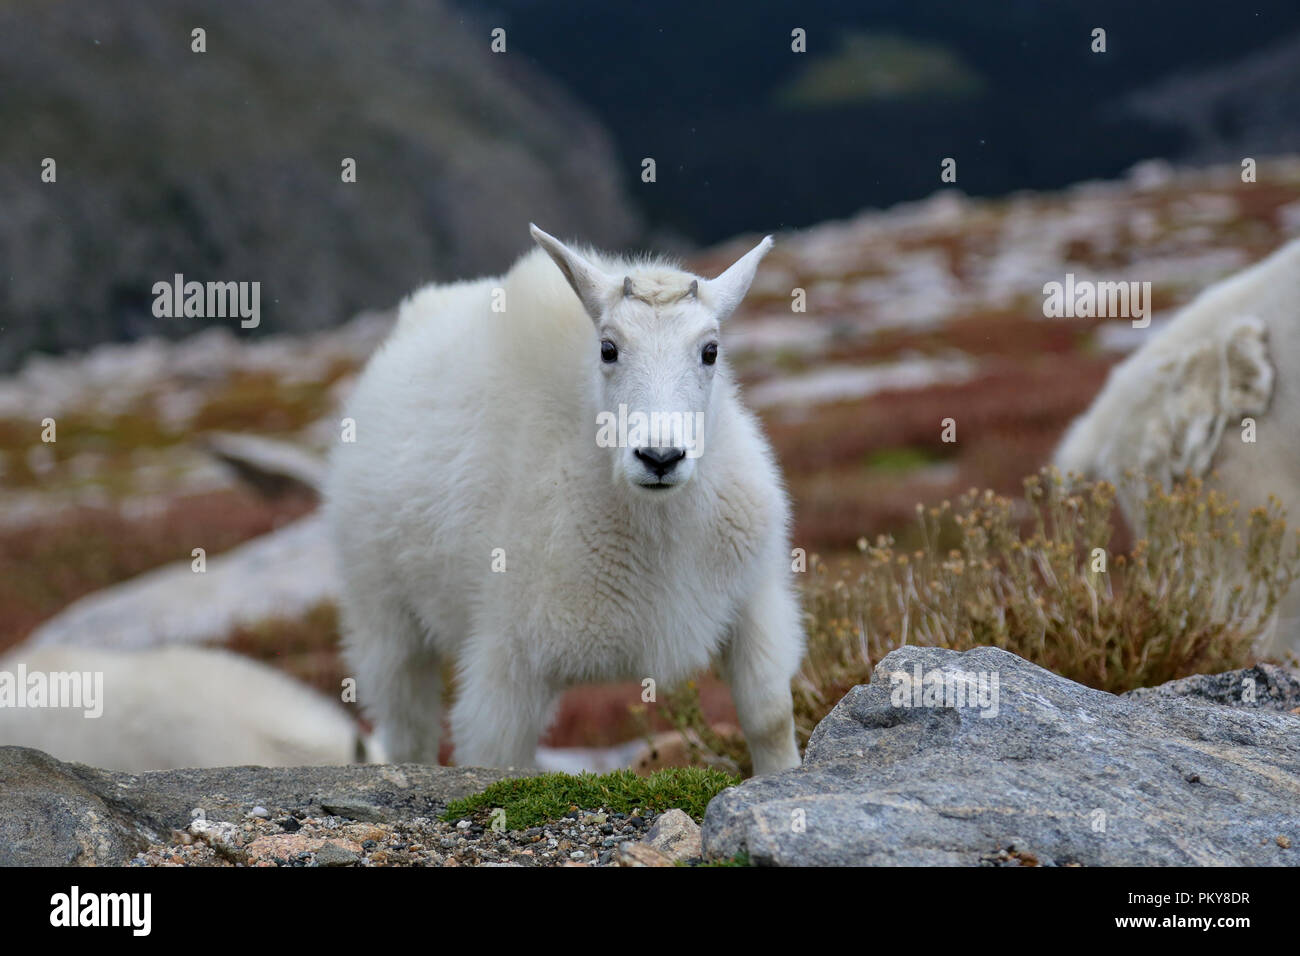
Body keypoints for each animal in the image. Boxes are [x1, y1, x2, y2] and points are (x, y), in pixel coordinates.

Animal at [325, 226, 800, 780]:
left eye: (710, 351)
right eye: (608, 348)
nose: (660, 457)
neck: (657, 526)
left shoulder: (753, 599)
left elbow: (769, 714)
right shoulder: (509, 658)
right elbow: (496, 760)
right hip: (382, 611)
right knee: (406, 723)